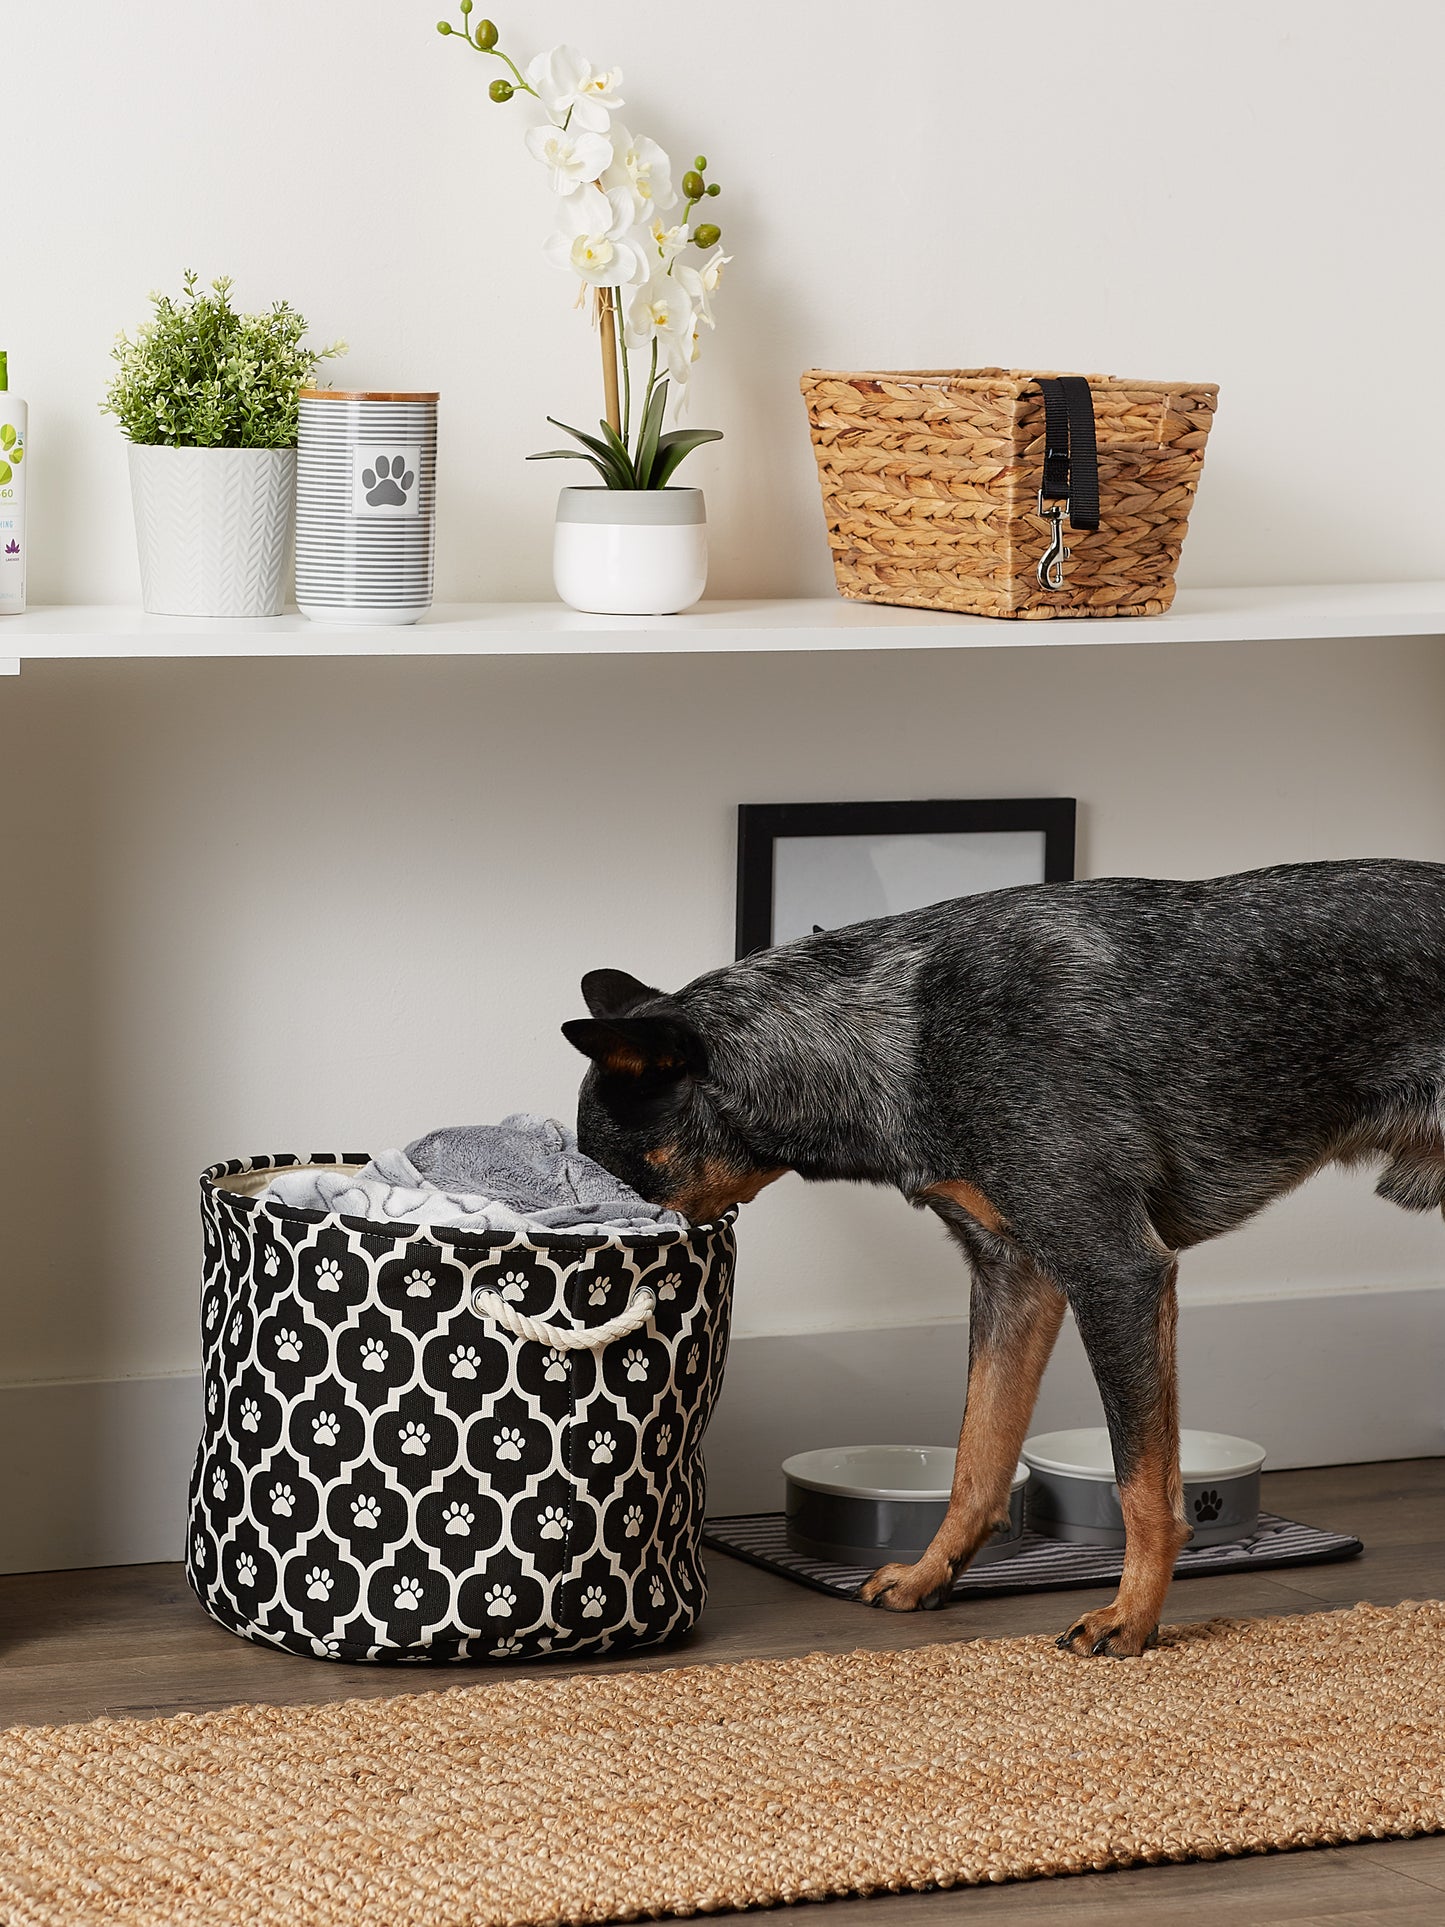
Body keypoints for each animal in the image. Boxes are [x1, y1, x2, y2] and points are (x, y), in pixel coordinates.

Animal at [562, 859, 1445, 1657]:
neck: (892, 1033)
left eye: (612, 1172)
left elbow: (1141, 1484)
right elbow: (975, 1458)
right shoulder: (1013, 1275)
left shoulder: (1112, 1269)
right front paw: (929, 1574)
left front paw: (1131, 1617)